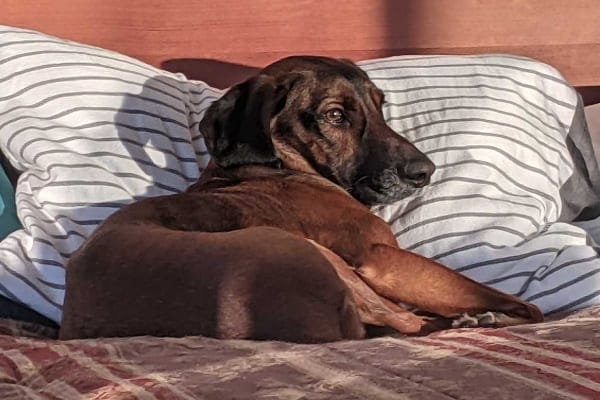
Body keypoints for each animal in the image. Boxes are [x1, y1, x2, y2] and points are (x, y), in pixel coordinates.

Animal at [59, 56, 544, 344]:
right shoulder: (380, 257)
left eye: (379, 106)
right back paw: (479, 320)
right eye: (335, 116)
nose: (425, 171)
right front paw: (507, 311)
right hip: (315, 256)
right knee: (412, 324)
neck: (281, 163)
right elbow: (498, 295)